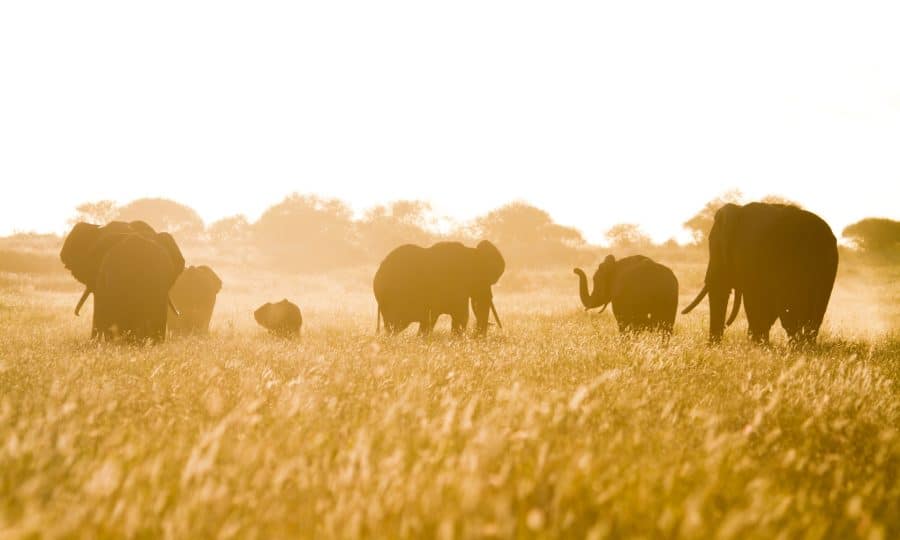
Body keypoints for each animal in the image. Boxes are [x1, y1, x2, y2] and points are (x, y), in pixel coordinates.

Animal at [682, 202, 838, 344]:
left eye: (715, 248)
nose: (713, 346)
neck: (738, 211)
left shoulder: (752, 256)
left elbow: (755, 303)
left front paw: (757, 345)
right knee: (812, 317)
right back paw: (804, 346)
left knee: (791, 315)